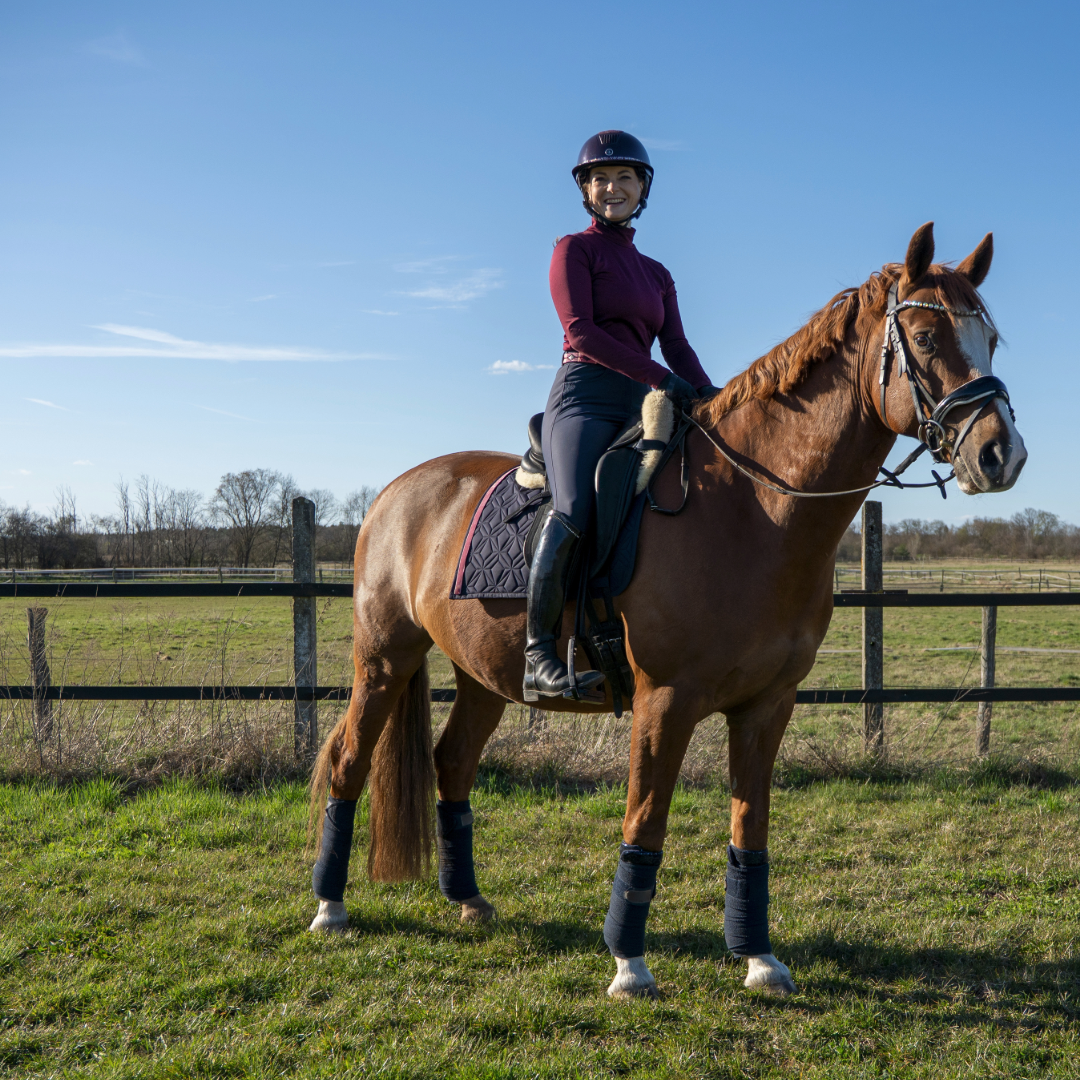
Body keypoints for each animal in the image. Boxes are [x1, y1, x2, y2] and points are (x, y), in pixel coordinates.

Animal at [306, 222, 1026, 998]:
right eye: (924, 336)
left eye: (992, 339)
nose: (1001, 455)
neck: (752, 509)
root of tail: (395, 490)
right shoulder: (665, 701)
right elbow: (645, 823)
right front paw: (629, 963)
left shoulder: (768, 705)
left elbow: (750, 829)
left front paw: (759, 957)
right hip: (384, 658)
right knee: (348, 760)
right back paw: (329, 906)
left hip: (482, 675)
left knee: (453, 764)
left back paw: (466, 898)